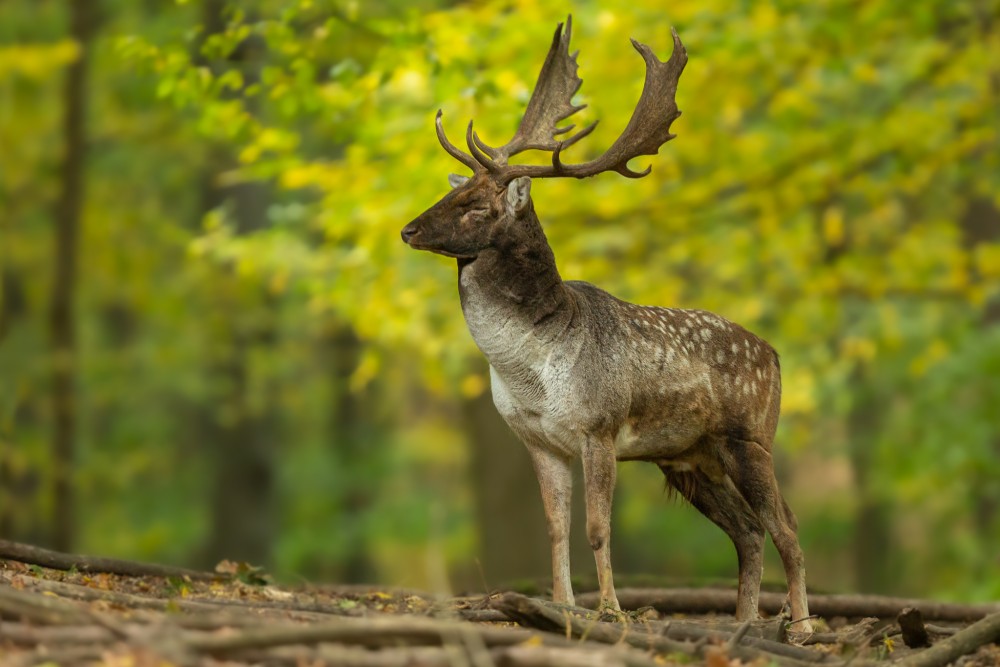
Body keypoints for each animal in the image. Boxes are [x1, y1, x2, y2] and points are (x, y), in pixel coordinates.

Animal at [398, 17, 812, 632]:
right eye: (452, 190)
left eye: (477, 206)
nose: (408, 229)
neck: (529, 368)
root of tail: (778, 355)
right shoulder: (537, 438)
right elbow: (555, 529)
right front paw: (562, 607)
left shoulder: (600, 426)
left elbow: (597, 528)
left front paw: (611, 610)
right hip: (690, 457)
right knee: (748, 531)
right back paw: (742, 624)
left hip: (751, 436)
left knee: (785, 526)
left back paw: (803, 627)